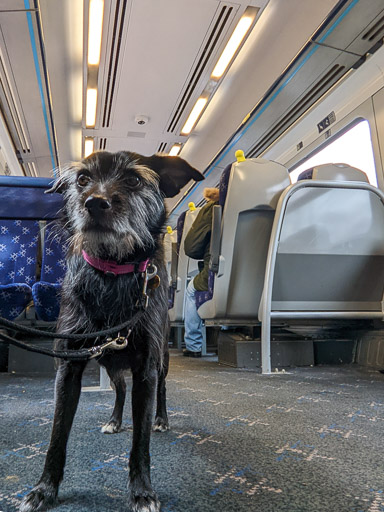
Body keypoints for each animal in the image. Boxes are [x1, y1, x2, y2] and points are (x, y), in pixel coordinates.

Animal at [20, 151, 204, 512]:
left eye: (133, 180)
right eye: (82, 180)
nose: (95, 203)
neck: (112, 272)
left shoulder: (146, 369)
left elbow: (141, 441)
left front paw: (142, 491)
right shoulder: (69, 367)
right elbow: (57, 435)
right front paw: (44, 489)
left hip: (161, 362)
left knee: (161, 389)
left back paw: (161, 419)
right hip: (110, 363)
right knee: (119, 391)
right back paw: (115, 420)